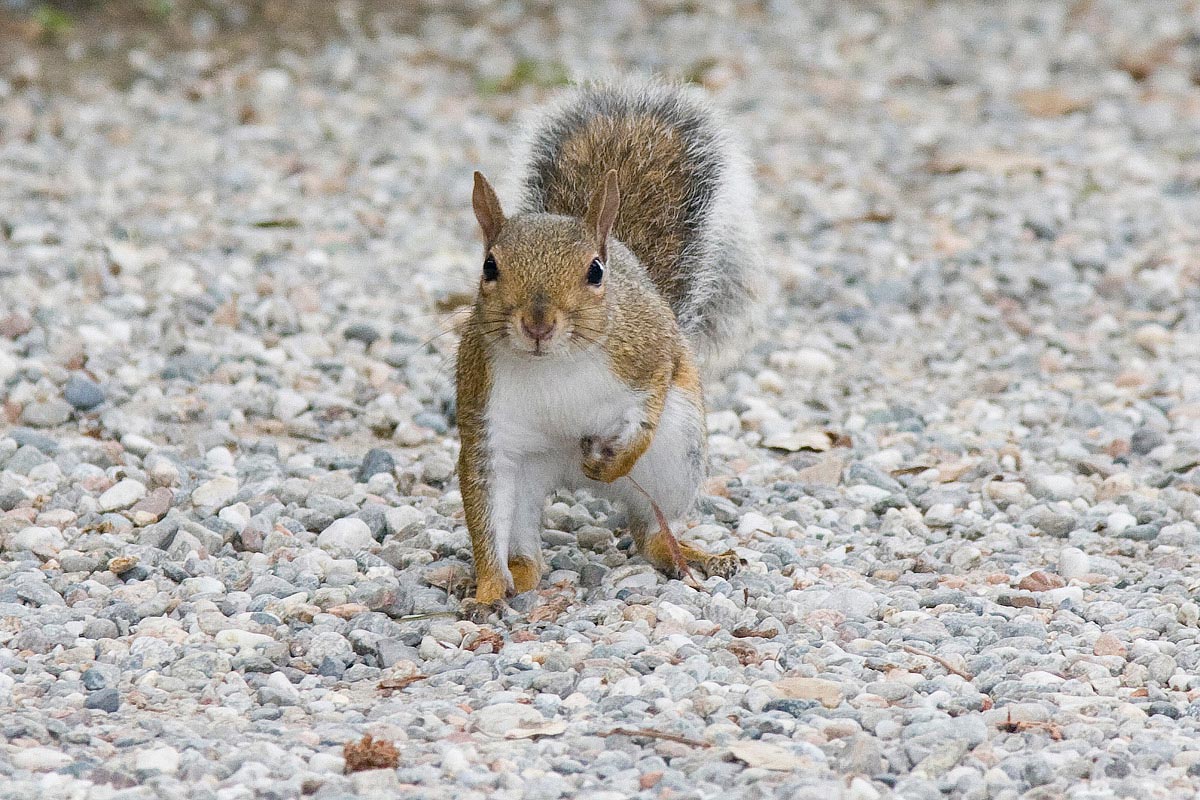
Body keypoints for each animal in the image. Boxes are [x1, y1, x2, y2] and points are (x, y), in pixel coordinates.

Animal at [456, 80, 760, 606]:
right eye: (489, 266)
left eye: (595, 272)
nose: (537, 323)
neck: (554, 363)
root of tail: (567, 476)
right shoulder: (487, 426)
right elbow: (484, 518)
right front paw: (489, 591)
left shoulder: (649, 352)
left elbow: (648, 409)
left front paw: (616, 463)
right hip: (528, 474)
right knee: (524, 546)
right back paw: (518, 576)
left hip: (678, 454)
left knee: (652, 532)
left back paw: (698, 555)